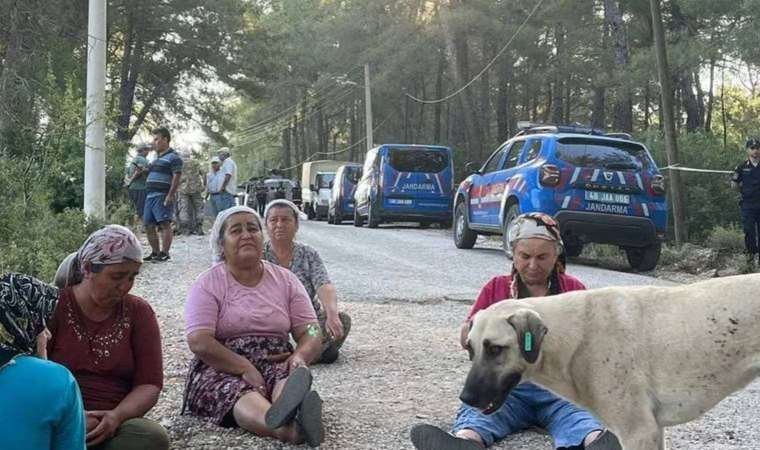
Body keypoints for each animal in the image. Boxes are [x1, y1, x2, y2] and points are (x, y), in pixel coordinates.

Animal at [460, 274, 760, 450]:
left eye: (495, 349)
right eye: (470, 349)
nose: (466, 398)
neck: (574, 335)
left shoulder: (639, 433)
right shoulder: (652, 431)